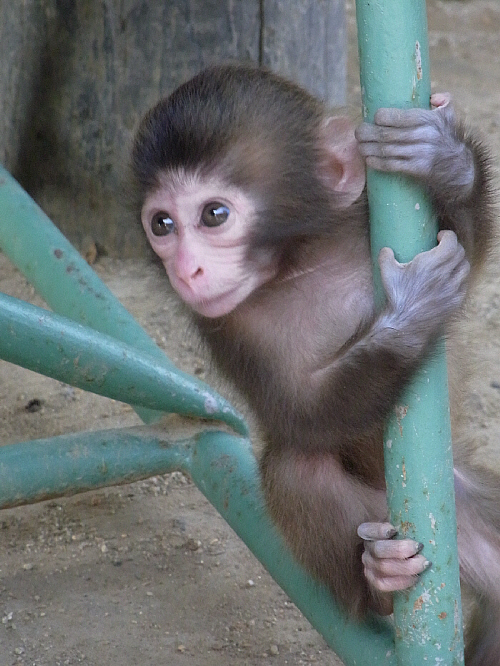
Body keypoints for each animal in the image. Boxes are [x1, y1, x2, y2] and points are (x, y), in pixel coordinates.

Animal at [131, 63, 498, 664]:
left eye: (213, 215)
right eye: (161, 224)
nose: (186, 270)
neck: (301, 263)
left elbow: (466, 252)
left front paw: (444, 159)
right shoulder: (226, 323)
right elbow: (302, 416)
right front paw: (409, 314)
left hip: (462, 496)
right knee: (296, 468)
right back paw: (380, 580)